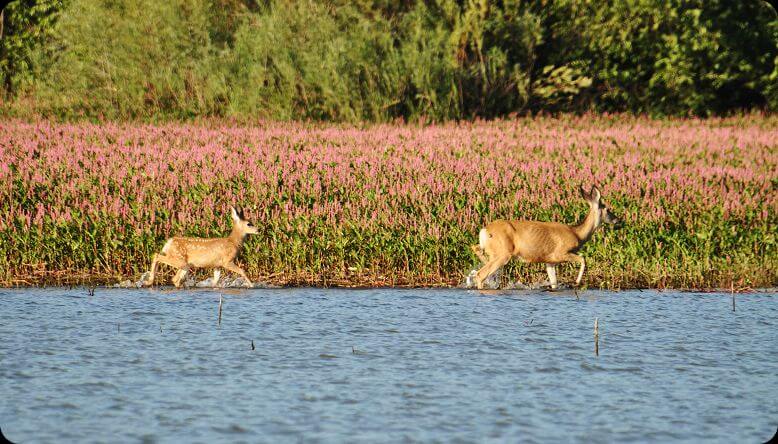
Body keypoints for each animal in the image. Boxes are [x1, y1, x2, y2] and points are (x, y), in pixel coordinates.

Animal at [470, 185, 620, 290]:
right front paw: (576, 282)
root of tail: (484, 230)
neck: (577, 233)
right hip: (503, 253)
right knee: (481, 274)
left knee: (476, 250)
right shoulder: (561, 253)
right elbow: (583, 258)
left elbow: (554, 283)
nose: (617, 220)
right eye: (607, 209)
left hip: (494, 252)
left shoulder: (550, 261)